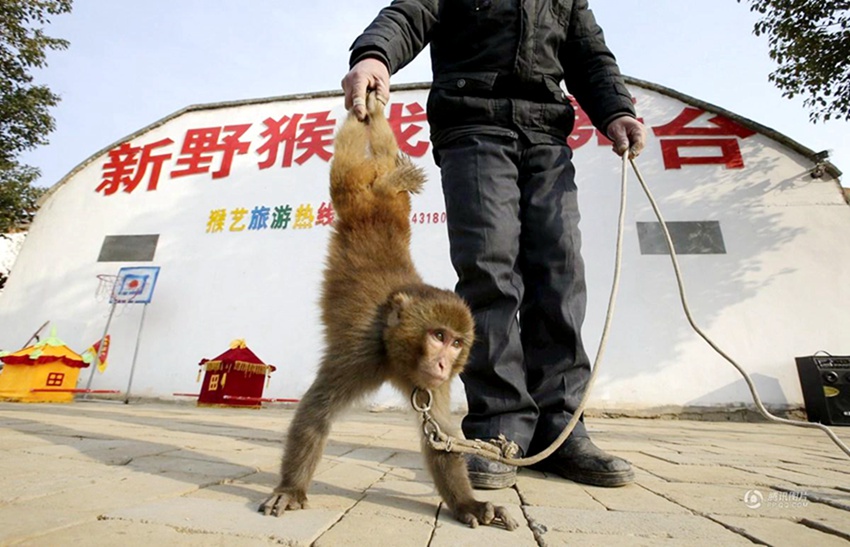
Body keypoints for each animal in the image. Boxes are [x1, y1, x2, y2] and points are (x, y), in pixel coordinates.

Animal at [260, 93, 516, 532]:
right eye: (438, 336)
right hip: (354, 197)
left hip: (393, 209)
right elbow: (316, 412)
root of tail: (376, 206)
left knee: (381, 161)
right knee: (346, 168)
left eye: (457, 343)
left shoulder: (434, 387)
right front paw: (291, 489)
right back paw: (365, 112)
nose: (444, 363)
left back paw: (383, 132)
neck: (394, 350)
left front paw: (469, 503)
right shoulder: (360, 353)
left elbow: (440, 438)